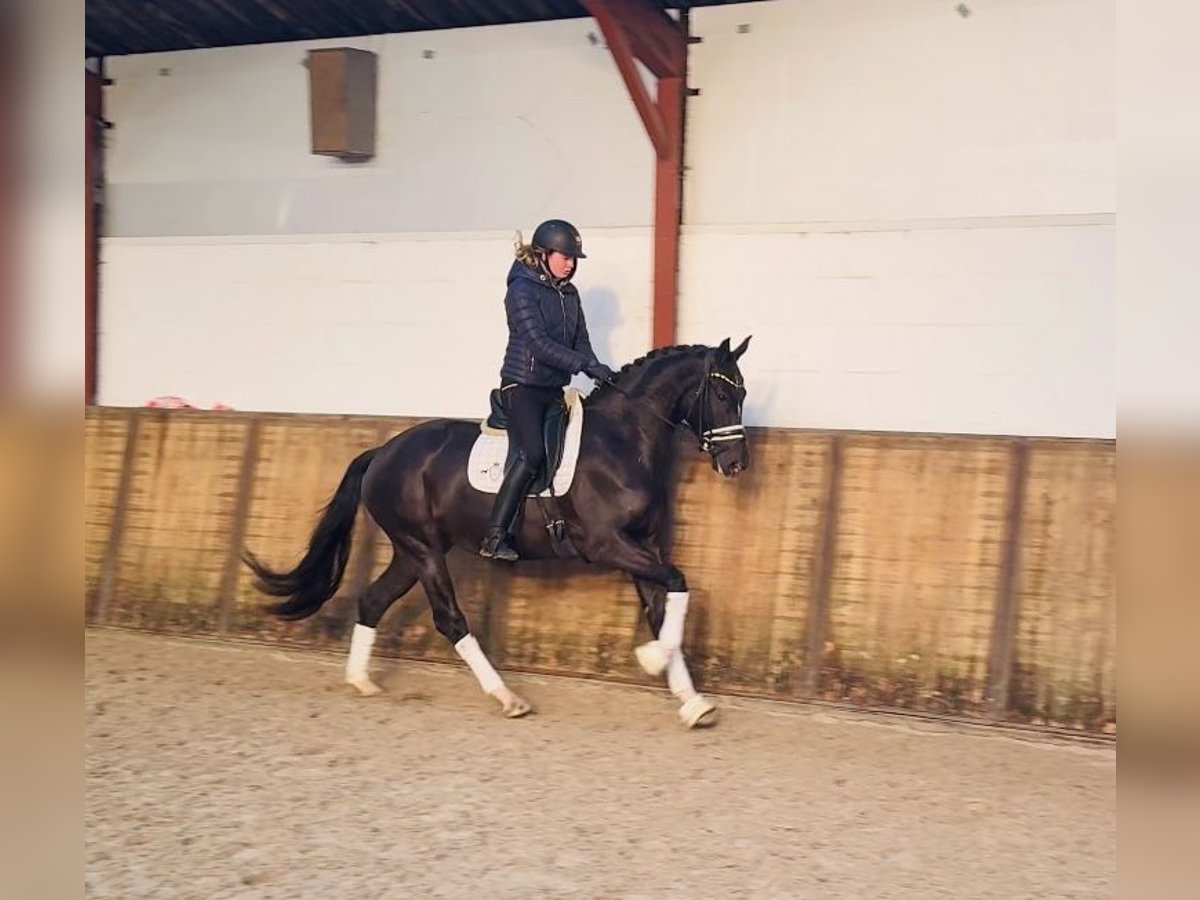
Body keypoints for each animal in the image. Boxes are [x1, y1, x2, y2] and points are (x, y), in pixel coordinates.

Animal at [243, 336, 748, 729]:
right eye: (723, 397)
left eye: (742, 395)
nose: (736, 465)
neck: (623, 442)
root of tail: (384, 452)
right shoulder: (609, 545)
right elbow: (678, 583)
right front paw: (652, 660)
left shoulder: (643, 547)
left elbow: (664, 608)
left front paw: (692, 703)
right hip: (423, 549)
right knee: (449, 619)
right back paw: (508, 698)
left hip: (412, 551)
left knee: (372, 601)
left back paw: (362, 681)